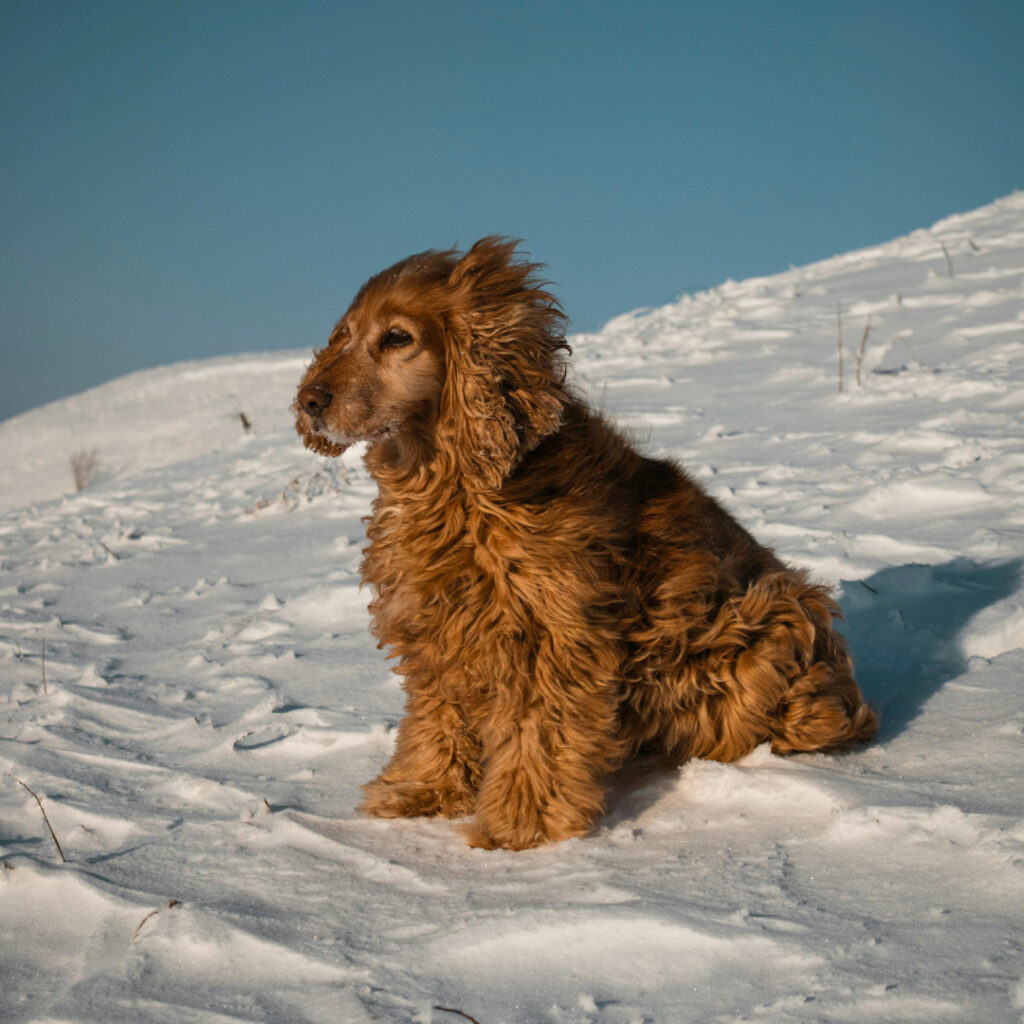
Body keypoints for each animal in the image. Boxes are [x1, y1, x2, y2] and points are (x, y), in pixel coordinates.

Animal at [292, 237, 876, 847]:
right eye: (343, 334)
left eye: (397, 338)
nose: (309, 400)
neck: (455, 486)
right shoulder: (439, 630)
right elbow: (437, 720)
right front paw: (421, 793)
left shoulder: (550, 634)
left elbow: (540, 735)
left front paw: (518, 828)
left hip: (770, 617)